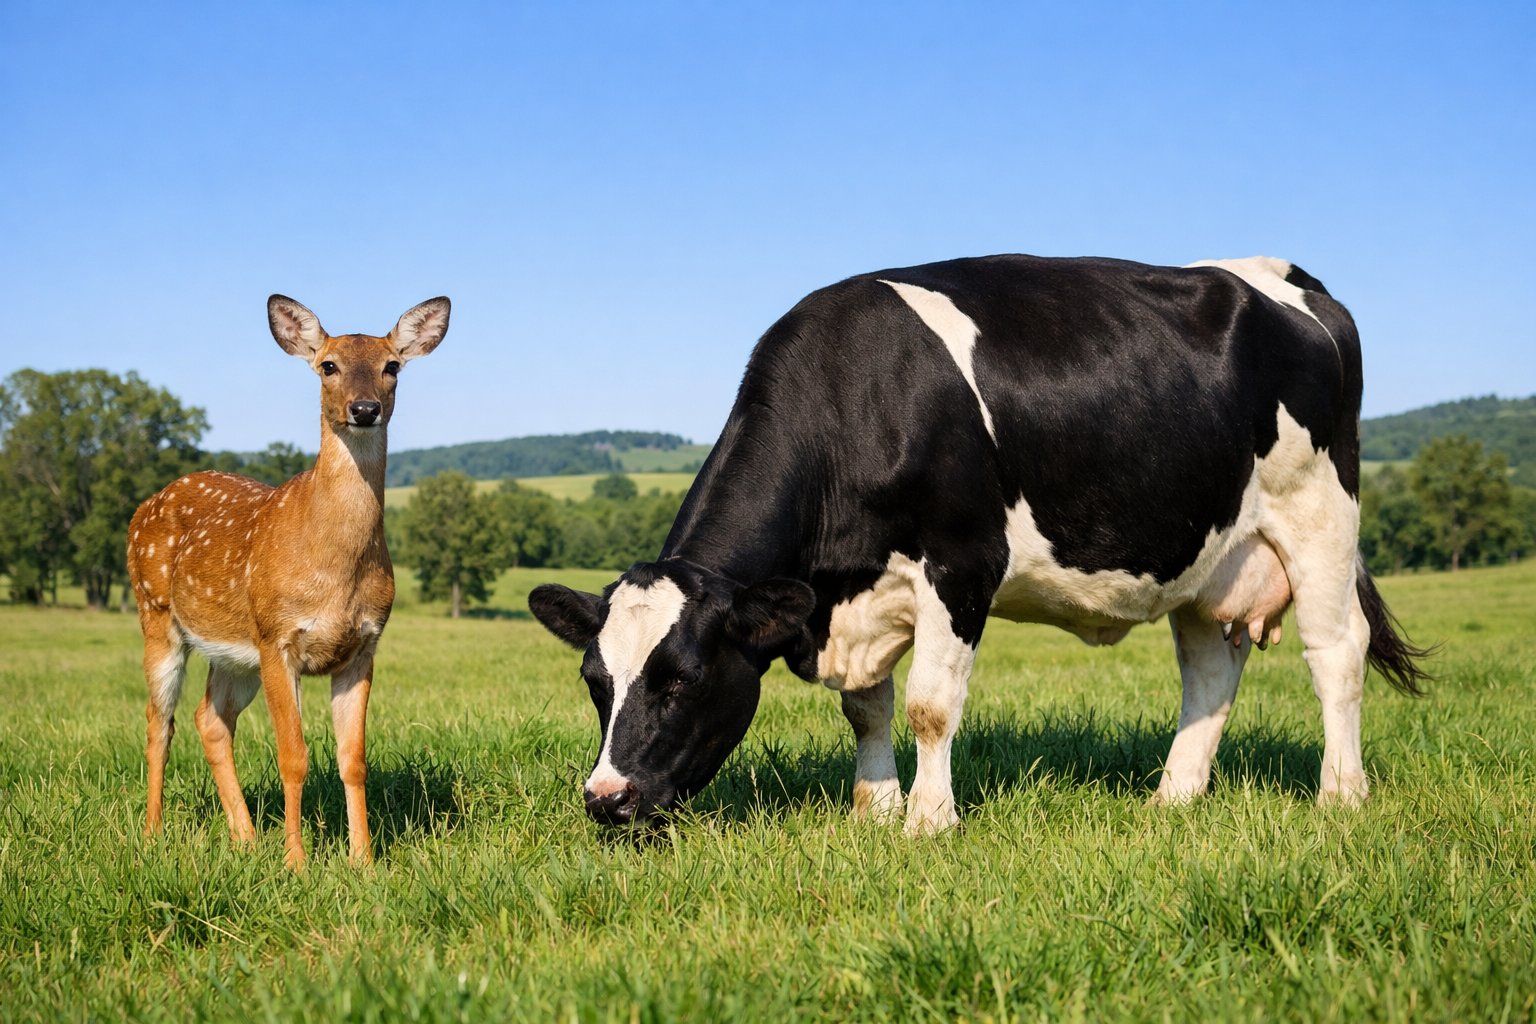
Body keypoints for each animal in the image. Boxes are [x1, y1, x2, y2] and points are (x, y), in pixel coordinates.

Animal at [127, 294, 449, 868]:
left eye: (392, 366)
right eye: (328, 366)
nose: (363, 409)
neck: (336, 569)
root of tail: (142, 509)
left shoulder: (363, 645)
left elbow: (353, 758)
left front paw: (364, 862)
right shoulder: (279, 637)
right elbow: (293, 756)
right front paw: (296, 862)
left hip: (235, 652)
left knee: (210, 719)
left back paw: (245, 837)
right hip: (158, 615)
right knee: (158, 721)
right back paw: (152, 833)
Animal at [529, 254, 1431, 832]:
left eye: (680, 680)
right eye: (593, 681)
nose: (606, 799)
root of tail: (1290, 277)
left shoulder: (962, 561)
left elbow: (930, 704)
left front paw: (929, 823)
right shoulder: (863, 592)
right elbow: (867, 708)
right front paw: (875, 809)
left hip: (1318, 512)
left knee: (1335, 651)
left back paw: (1341, 796)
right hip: (1207, 553)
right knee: (1210, 668)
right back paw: (1172, 798)